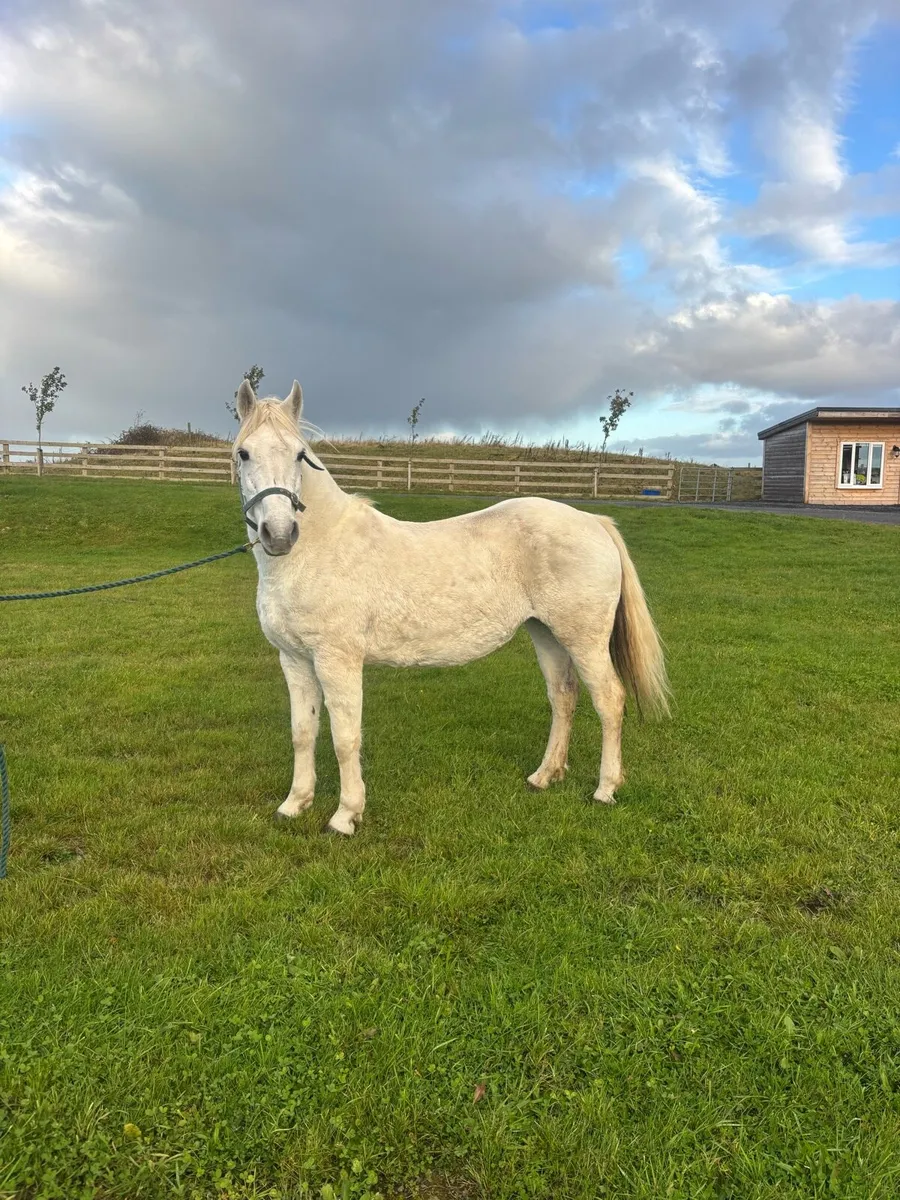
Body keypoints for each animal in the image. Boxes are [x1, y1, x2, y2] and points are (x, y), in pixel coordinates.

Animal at [234, 380, 670, 835]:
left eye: (300, 455)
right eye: (243, 453)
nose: (279, 534)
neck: (320, 548)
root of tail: (593, 521)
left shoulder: (338, 660)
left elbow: (344, 737)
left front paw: (345, 815)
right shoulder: (294, 659)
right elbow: (303, 732)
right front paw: (294, 803)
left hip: (584, 639)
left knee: (609, 700)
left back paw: (605, 789)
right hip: (546, 633)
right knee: (563, 697)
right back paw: (544, 776)